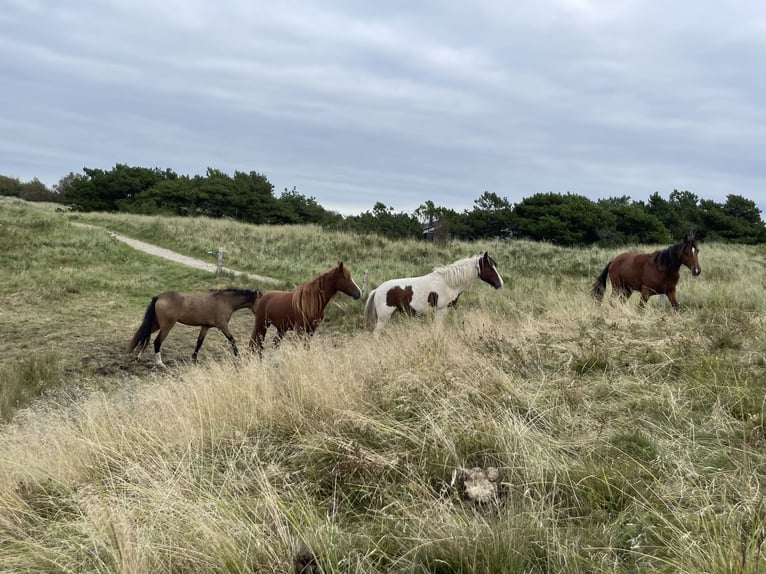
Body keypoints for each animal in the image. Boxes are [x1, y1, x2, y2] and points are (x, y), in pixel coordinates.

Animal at [129, 288, 262, 367]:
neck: (225, 301)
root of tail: (159, 297)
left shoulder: (205, 327)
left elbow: (199, 342)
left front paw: (194, 359)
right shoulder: (223, 326)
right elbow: (232, 340)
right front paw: (238, 357)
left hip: (156, 324)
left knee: (144, 336)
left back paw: (138, 357)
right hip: (166, 326)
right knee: (157, 342)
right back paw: (160, 363)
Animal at [364, 251, 503, 332]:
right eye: (490, 267)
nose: (500, 283)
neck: (448, 283)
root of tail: (377, 290)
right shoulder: (441, 310)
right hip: (383, 318)